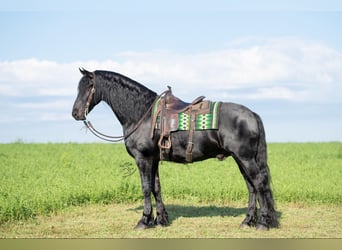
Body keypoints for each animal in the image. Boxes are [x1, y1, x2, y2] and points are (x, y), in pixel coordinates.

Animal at [71, 68, 278, 230]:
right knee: (251, 187)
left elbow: (146, 188)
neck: (142, 115)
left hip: (245, 158)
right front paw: (160, 220)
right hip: (240, 158)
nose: (75, 113)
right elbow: (156, 187)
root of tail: (252, 114)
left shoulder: (143, 159)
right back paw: (247, 221)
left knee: (259, 183)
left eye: (89, 86)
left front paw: (144, 221)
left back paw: (263, 223)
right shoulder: (153, 160)